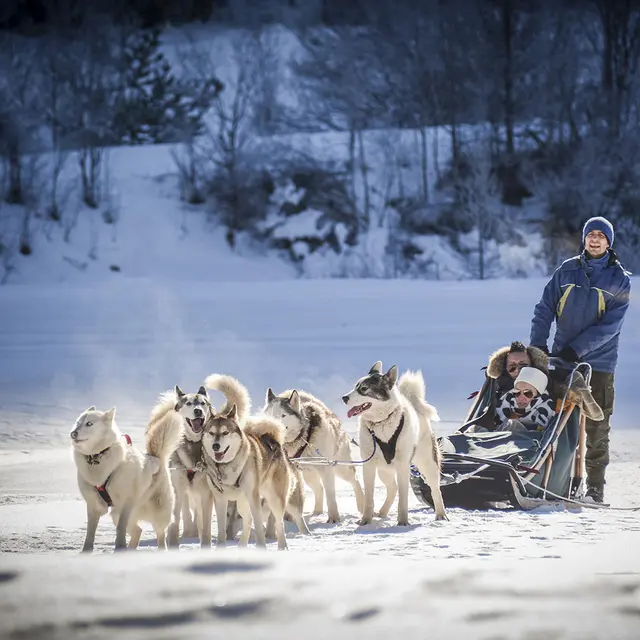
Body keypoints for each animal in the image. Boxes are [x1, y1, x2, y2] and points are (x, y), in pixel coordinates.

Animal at [70, 404, 182, 552]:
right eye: (78, 422)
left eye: (89, 423)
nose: (73, 433)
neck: (97, 458)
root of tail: (156, 458)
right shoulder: (93, 506)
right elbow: (90, 532)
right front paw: (86, 552)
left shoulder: (126, 503)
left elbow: (120, 528)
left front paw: (119, 547)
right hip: (116, 515)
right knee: (138, 531)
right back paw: (129, 551)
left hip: (158, 513)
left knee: (160, 533)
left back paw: (159, 550)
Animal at [264, 388, 362, 524]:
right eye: (270, 415)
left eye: (283, 415)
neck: (303, 437)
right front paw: (288, 516)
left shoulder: (326, 469)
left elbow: (330, 494)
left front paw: (334, 517)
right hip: (308, 474)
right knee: (319, 488)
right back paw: (317, 511)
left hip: (341, 469)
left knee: (355, 481)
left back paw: (362, 504)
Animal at [342, 362, 448, 528]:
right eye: (355, 386)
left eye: (364, 389)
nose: (344, 398)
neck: (381, 423)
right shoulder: (369, 465)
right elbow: (369, 497)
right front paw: (365, 520)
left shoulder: (403, 465)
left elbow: (403, 498)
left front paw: (403, 521)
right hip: (383, 470)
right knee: (392, 488)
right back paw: (383, 511)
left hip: (428, 465)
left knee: (436, 490)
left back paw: (441, 515)